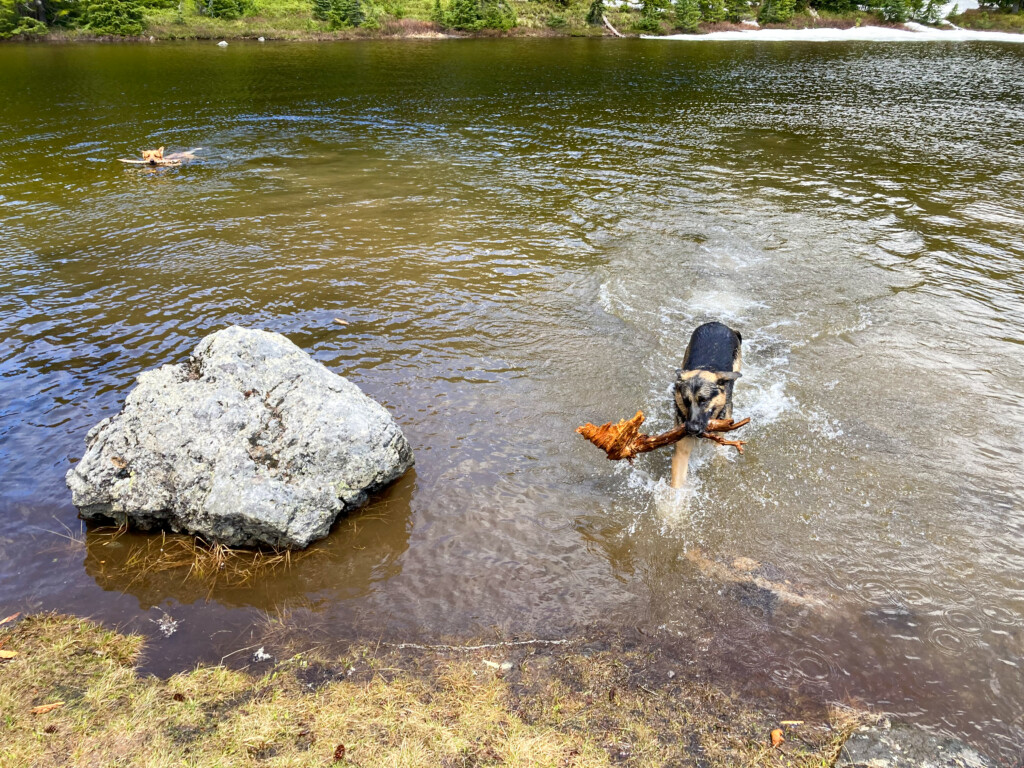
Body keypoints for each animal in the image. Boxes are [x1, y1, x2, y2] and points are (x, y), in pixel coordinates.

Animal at [667, 321, 741, 489]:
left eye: (704, 400)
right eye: (686, 401)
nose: (692, 429)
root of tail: (716, 323)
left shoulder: (719, 442)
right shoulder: (682, 451)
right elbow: (677, 485)